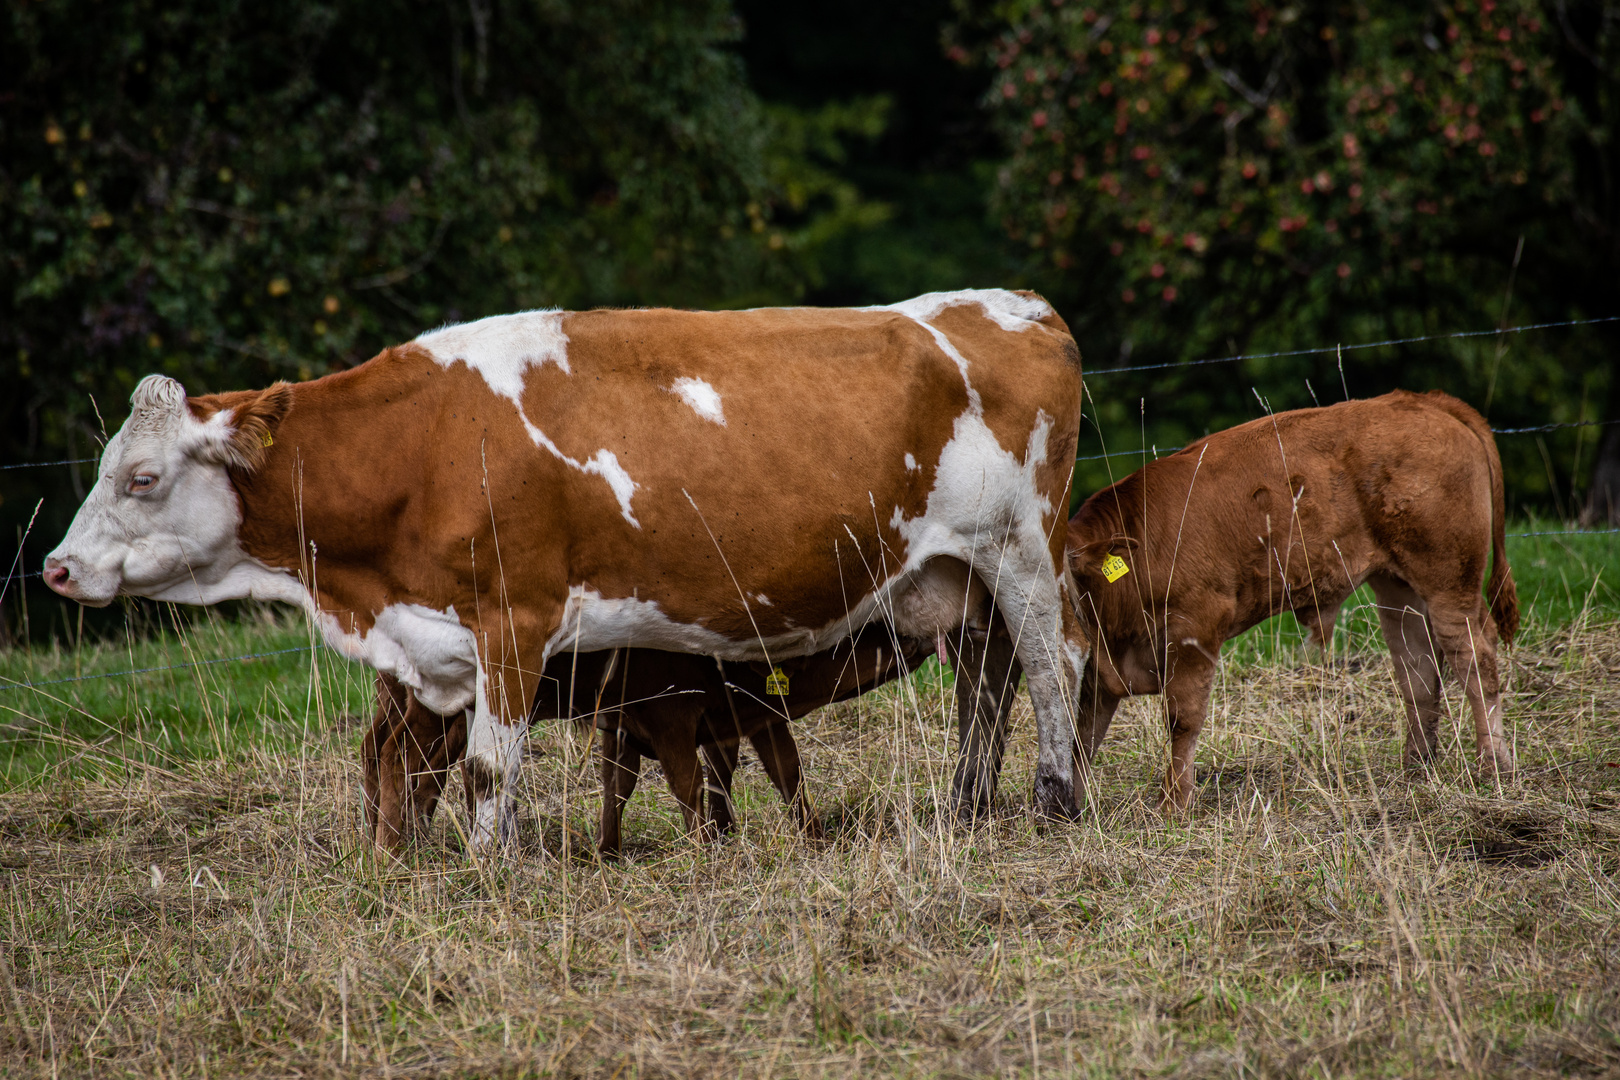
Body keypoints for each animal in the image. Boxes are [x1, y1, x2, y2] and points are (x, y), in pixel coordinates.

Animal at [47, 289, 1088, 841]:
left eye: (141, 477)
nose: (57, 569)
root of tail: (1008, 305)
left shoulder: (514, 621)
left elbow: (486, 770)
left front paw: (488, 871)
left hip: (1018, 548)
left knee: (1052, 666)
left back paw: (1058, 800)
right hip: (951, 580)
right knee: (987, 682)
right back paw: (966, 805)